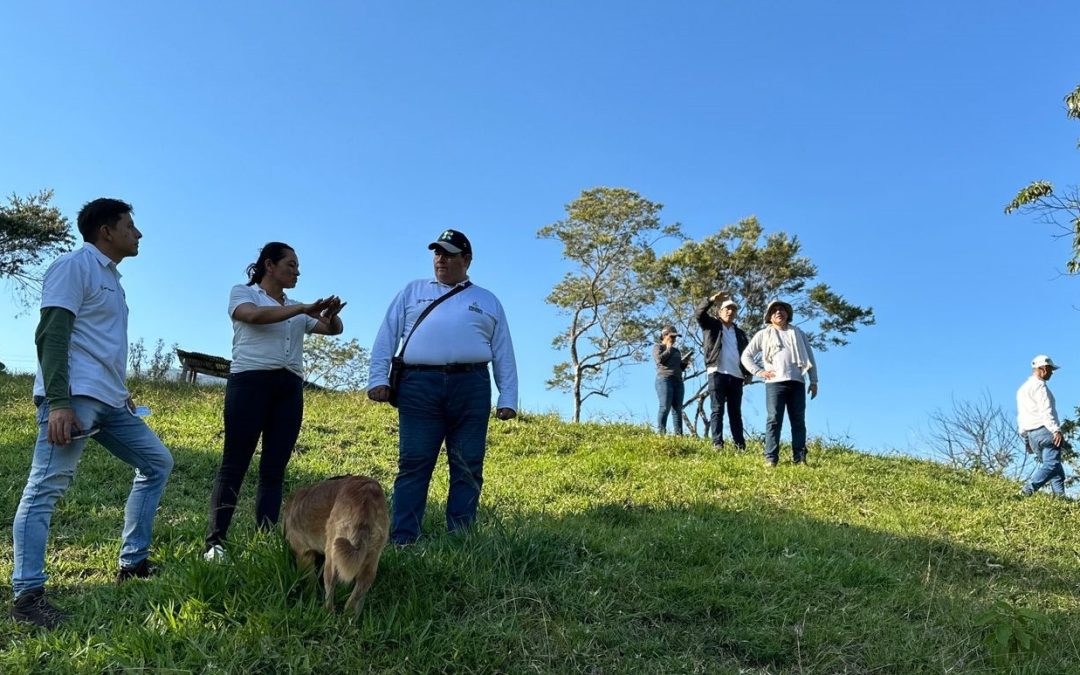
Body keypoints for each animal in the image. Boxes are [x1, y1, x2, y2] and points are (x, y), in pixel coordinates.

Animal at [282, 473, 388, 609]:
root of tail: (367, 494)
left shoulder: (304, 555)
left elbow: (310, 582)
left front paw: (310, 599)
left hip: (332, 559)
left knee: (330, 599)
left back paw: (325, 612)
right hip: (370, 561)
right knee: (353, 602)